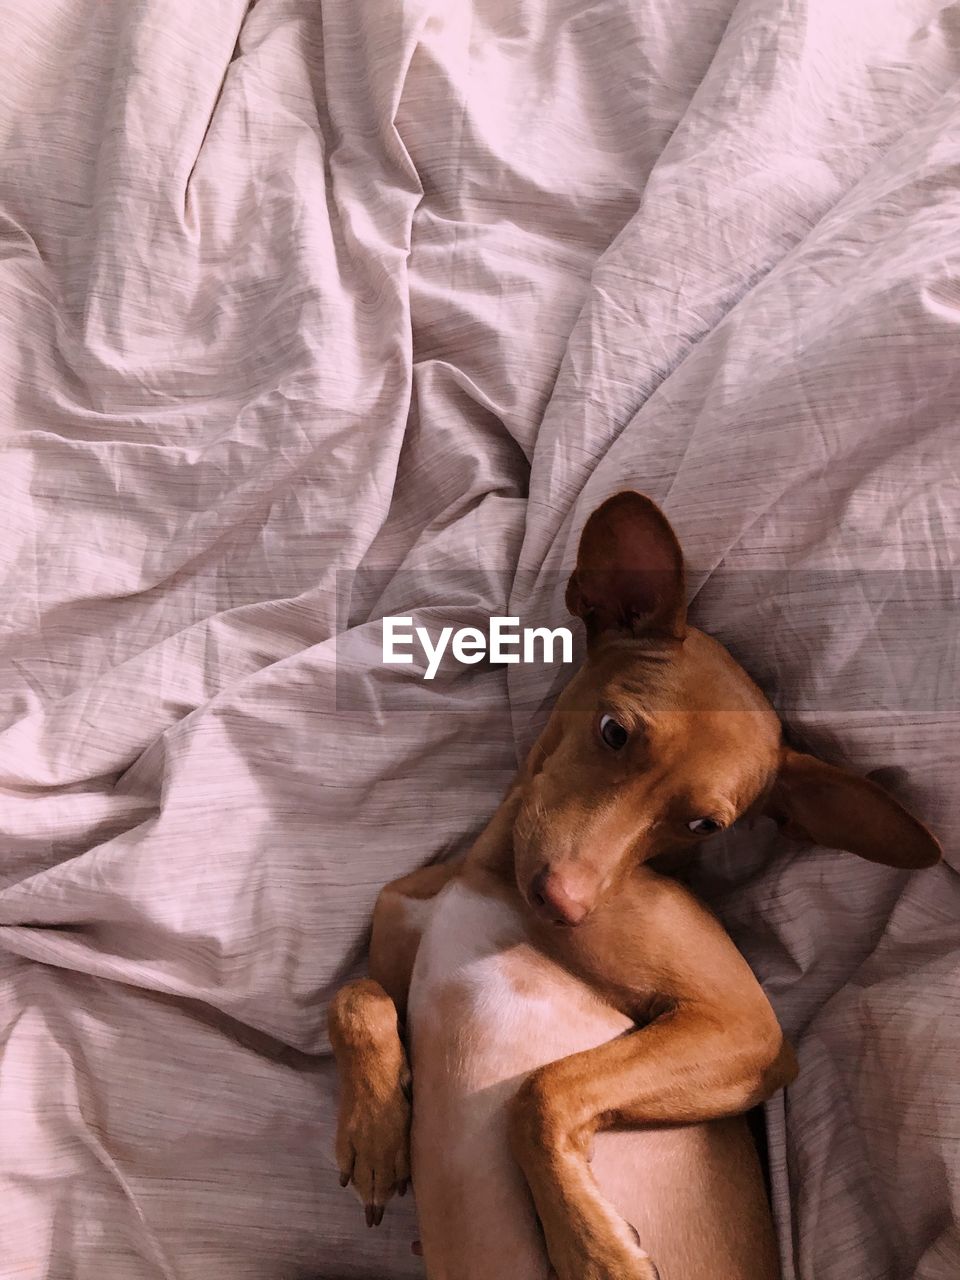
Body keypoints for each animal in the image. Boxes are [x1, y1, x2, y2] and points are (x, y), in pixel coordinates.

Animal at [330, 491, 942, 1280]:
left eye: (705, 825)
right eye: (615, 732)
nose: (565, 904)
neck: (486, 876)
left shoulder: (746, 1028)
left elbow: (541, 1092)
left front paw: (593, 1249)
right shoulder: (396, 953)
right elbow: (356, 995)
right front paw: (373, 1130)